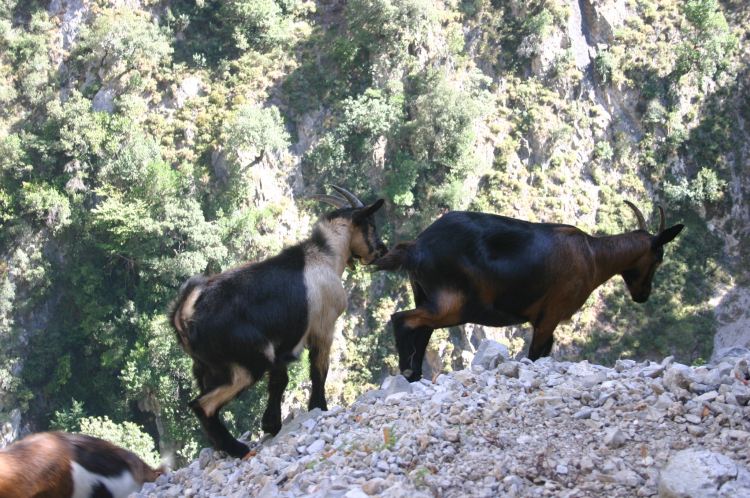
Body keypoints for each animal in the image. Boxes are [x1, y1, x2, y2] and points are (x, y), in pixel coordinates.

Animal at [171, 187, 388, 460]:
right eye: (371, 225)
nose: (382, 250)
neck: (325, 256)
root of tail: (185, 314)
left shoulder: (281, 348)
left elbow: (278, 381)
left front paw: (271, 424)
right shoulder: (323, 327)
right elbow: (318, 370)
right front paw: (318, 407)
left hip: (206, 367)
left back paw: (223, 447)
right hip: (246, 362)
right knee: (202, 405)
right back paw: (238, 448)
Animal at [376, 202, 688, 382]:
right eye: (658, 258)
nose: (642, 295)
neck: (593, 256)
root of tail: (416, 247)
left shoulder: (545, 319)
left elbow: (545, 352)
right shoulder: (551, 313)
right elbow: (536, 353)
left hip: (427, 295)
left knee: (420, 329)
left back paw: (415, 374)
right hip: (452, 304)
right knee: (403, 319)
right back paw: (408, 371)